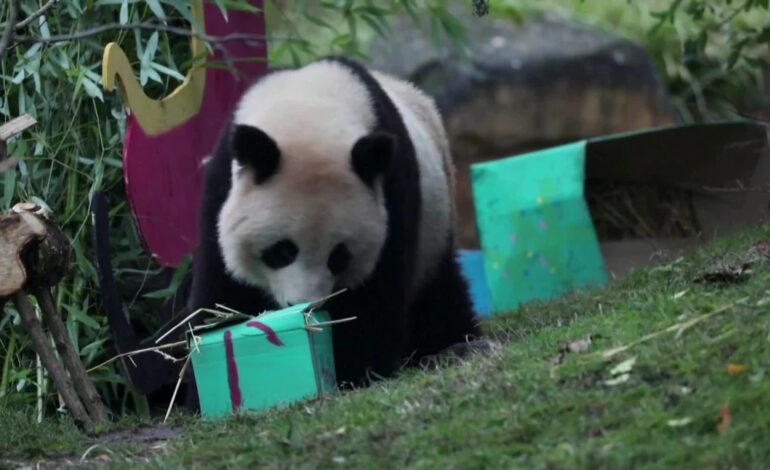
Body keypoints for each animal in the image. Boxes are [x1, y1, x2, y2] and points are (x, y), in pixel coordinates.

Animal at [186, 56, 481, 392]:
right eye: (282, 251)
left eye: (339, 257)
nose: (304, 305)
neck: (309, 105)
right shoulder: (221, 184)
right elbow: (221, 290)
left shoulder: (393, 192)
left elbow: (373, 300)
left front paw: (357, 372)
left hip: (436, 223)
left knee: (439, 293)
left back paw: (454, 340)